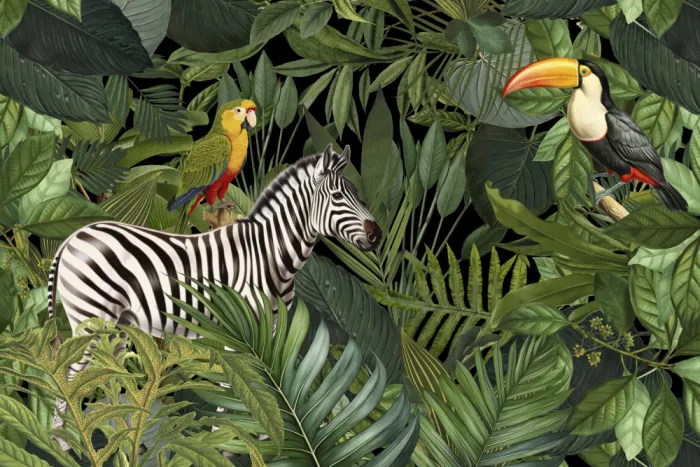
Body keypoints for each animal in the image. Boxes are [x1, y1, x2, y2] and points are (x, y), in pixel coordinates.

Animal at [47, 144, 382, 446]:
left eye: (357, 194)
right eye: (337, 196)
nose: (377, 235)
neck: (269, 255)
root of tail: (72, 237)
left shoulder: (272, 329)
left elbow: (268, 383)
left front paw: (271, 439)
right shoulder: (240, 332)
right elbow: (237, 384)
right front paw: (231, 439)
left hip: (115, 328)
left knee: (107, 376)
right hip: (92, 320)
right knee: (69, 379)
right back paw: (66, 446)